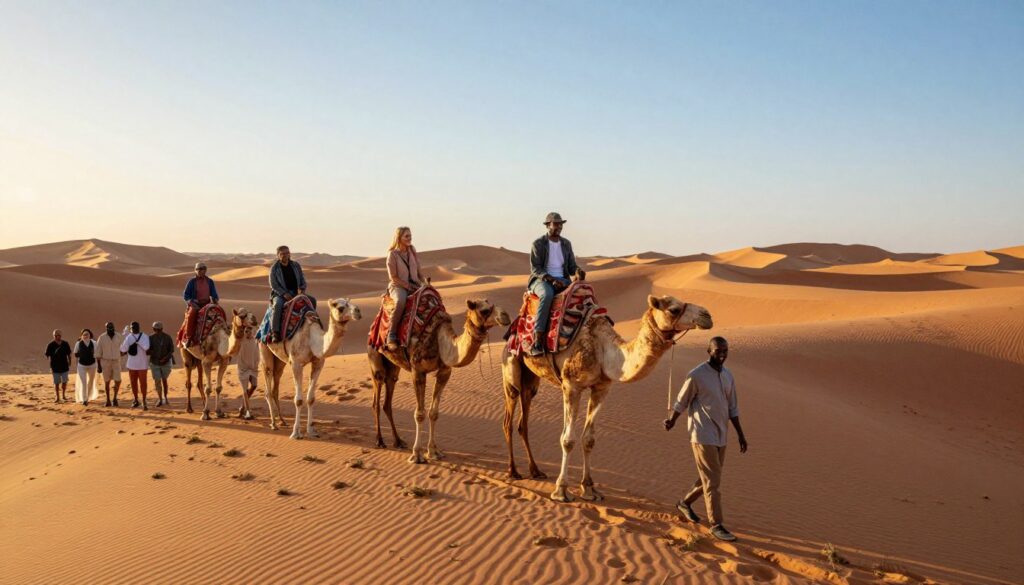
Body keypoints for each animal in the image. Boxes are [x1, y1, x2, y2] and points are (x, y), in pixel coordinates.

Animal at [260, 297, 361, 439]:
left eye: (350, 303)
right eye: (340, 307)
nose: (358, 311)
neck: (313, 340)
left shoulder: (318, 362)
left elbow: (311, 398)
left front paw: (311, 430)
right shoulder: (296, 363)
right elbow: (298, 400)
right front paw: (296, 433)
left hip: (280, 361)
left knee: (276, 383)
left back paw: (282, 421)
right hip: (264, 347)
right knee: (267, 379)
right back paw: (273, 423)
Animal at [369, 297, 511, 463]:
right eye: (484, 310)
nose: (505, 316)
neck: (440, 341)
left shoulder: (445, 371)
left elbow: (434, 413)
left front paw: (433, 452)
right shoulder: (418, 370)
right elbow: (420, 413)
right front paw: (417, 455)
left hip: (393, 367)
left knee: (388, 399)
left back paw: (398, 441)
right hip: (375, 359)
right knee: (376, 399)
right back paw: (380, 441)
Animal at [501, 293, 712, 502]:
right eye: (674, 309)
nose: (707, 316)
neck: (603, 351)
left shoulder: (601, 388)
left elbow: (589, 440)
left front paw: (589, 489)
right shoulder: (571, 386)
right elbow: (567, 440)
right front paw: (561, 490)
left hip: (531, 381)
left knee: (523, 421)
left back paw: (535, 471)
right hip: (511, 371)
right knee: (508, 420)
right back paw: (513, 471)